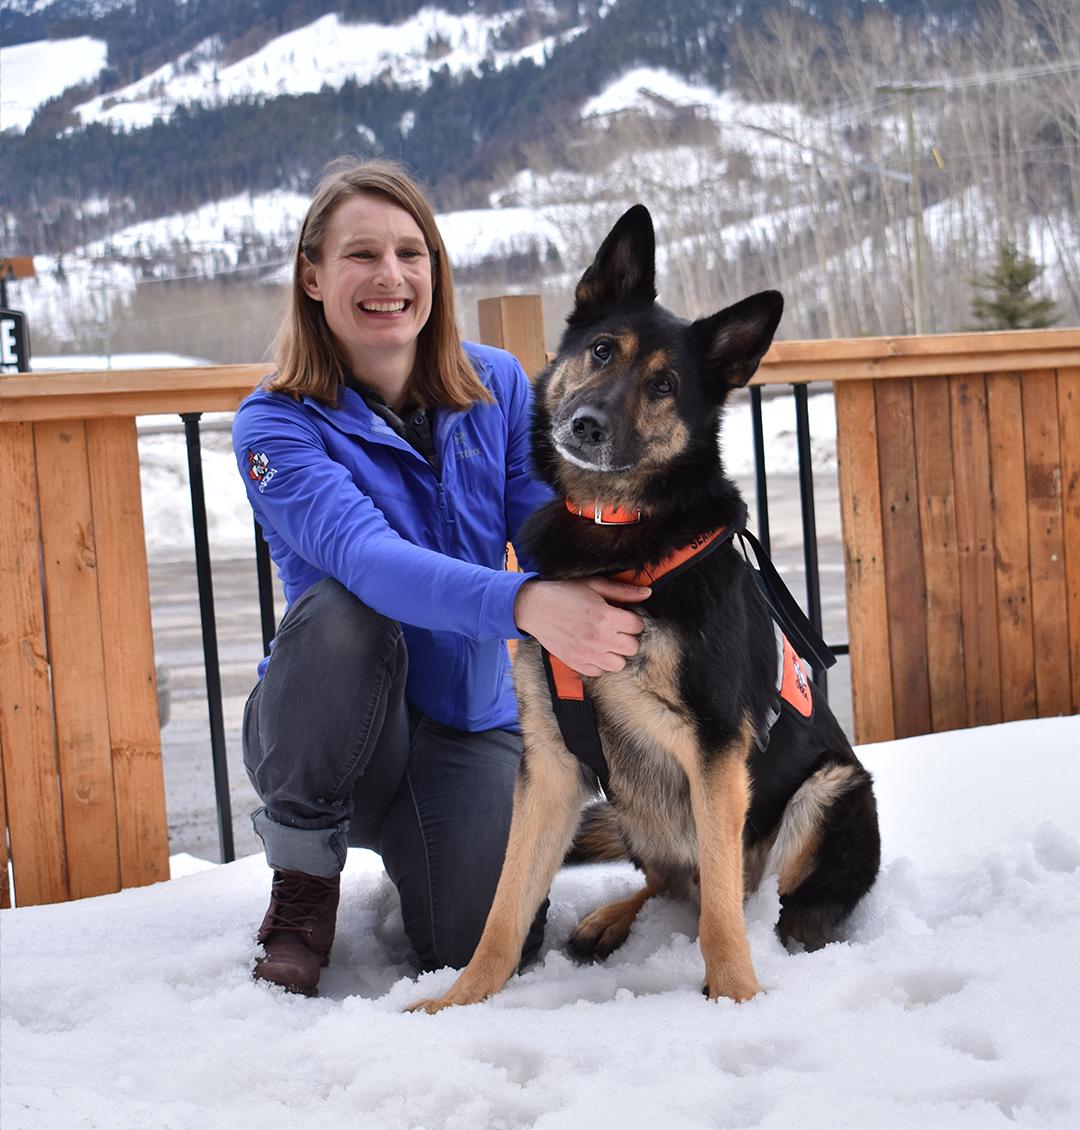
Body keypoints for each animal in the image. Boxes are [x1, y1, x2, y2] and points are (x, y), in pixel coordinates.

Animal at [408, 205, 881, 1017]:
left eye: (663, 384)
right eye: (602, 351)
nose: (589, 425)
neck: (615, 532)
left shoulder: (716, 751)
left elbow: (722, 912)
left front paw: (738, 997)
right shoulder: (551, 765)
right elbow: (503, 908)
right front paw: (456, 1003)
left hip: (828, 792)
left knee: (757, 900)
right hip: (637, 811)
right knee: (669, 883)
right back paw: (608, 921)